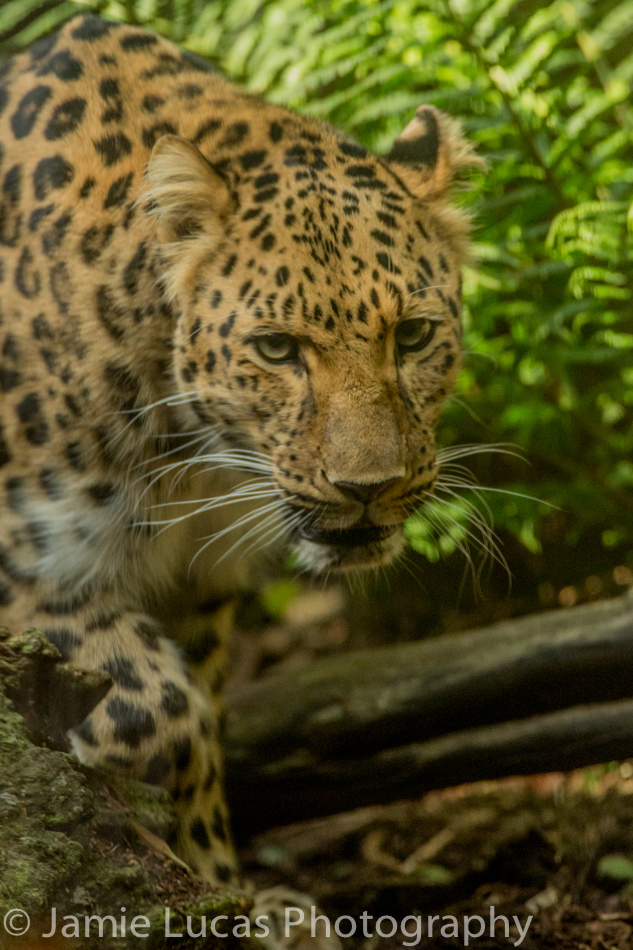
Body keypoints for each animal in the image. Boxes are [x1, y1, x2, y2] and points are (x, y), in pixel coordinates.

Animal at [0, 11, 480, 911]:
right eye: (276, 349)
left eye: (412, 335)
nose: (368, 489)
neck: (193, 460)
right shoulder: (28, 573)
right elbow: (163, 699)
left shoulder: (205, 587)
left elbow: (201, 725)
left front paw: (221, 885)